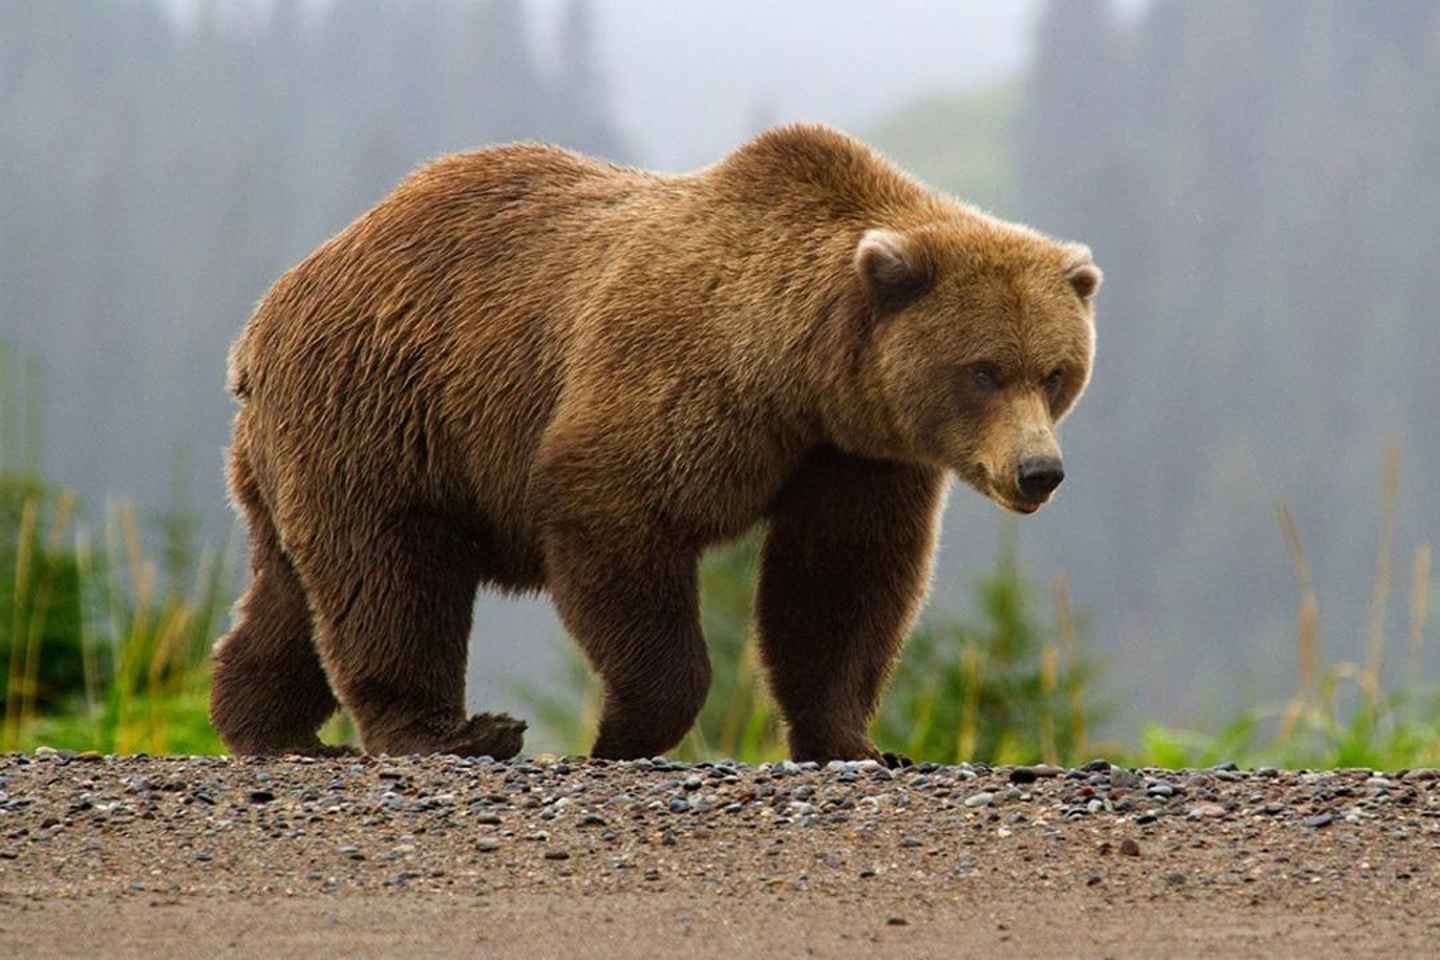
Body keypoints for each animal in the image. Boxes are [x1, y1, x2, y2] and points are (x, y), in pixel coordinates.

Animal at [209, 123, 1100, 763]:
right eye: (983, 370)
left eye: (1056, 372)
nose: (1039, 471)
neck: (800, 373)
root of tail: (266, 316)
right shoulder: (680, 380)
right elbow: (617, 517)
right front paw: (623, 731)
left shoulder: (853, 456)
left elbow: (840, 583)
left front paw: (857, 742)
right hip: (387, 409)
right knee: (391, 574)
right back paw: (450, 732)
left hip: (304, 447)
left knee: (294, 589)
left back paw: (267, 724)